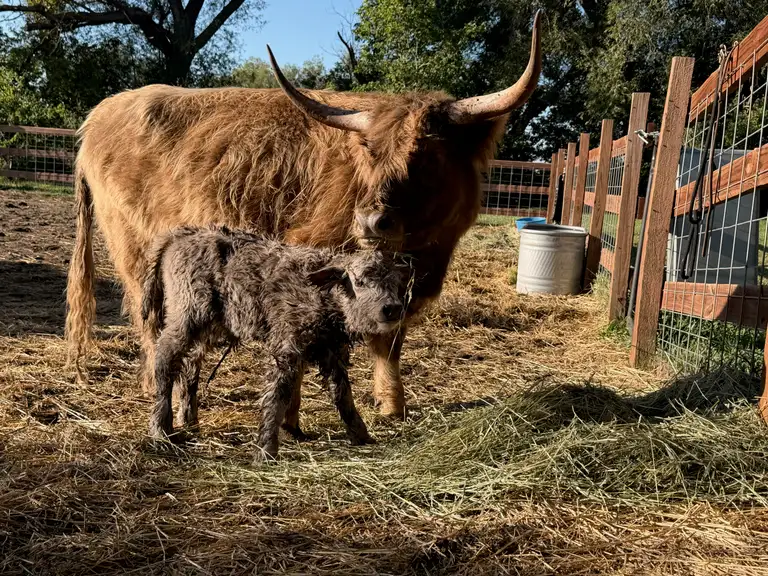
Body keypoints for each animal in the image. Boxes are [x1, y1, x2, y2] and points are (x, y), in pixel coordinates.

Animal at [65, 11, 542, 421]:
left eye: (429, 156)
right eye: (369, 152)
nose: (371, 222)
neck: (422, 252)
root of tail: (97, 118)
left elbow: (390, 339)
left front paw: (392, 404)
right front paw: (293, 411)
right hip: (137, 252)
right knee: (149, 319)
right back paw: (159, 387)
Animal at [141, 225, 412, 462]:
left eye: (395, 283)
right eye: (359, 282)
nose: (392, 308)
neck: (322, 296)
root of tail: (180, 233)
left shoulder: (330, 349)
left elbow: (342, 392)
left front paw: (361, 434)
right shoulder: (286, 345)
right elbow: (278, 395)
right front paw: (266, 450)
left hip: (210, 323)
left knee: (191, 364)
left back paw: (189, 421)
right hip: (186, 310)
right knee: (165, 359)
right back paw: (161, 430)